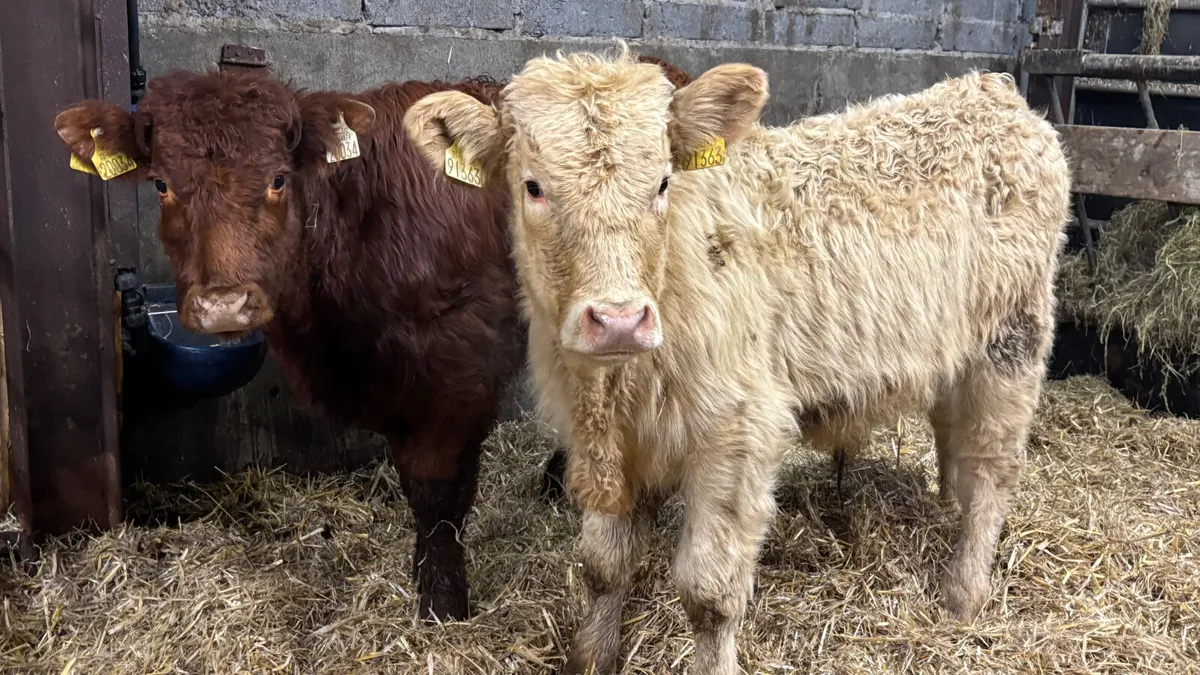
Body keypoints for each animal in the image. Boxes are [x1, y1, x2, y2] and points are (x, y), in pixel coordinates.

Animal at [403, 45, 1071, 674]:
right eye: (533, 186)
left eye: (663, 182)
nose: (619, 319)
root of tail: (991, 93)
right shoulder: (604, 442)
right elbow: (602, 565)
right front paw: (591, 657)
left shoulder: (737, 435)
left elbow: (708, 594)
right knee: (956, 447)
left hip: (1012, 345)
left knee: (992, 469)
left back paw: (964, 593)